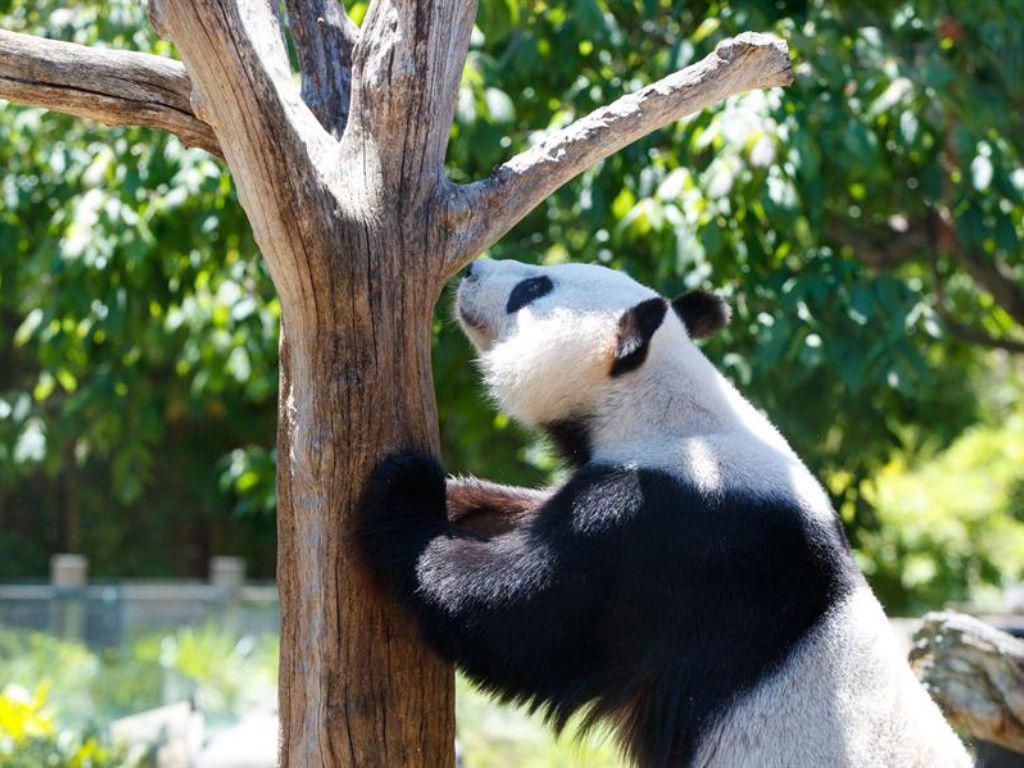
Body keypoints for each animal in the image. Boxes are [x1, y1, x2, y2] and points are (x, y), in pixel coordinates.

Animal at [358, 258, 970, 768]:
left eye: (534, 288)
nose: (472, 271)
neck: (672, 409)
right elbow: (527, 516)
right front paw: (456, 496)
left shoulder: (671, 531)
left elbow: (515, 615)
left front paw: (403, 489)